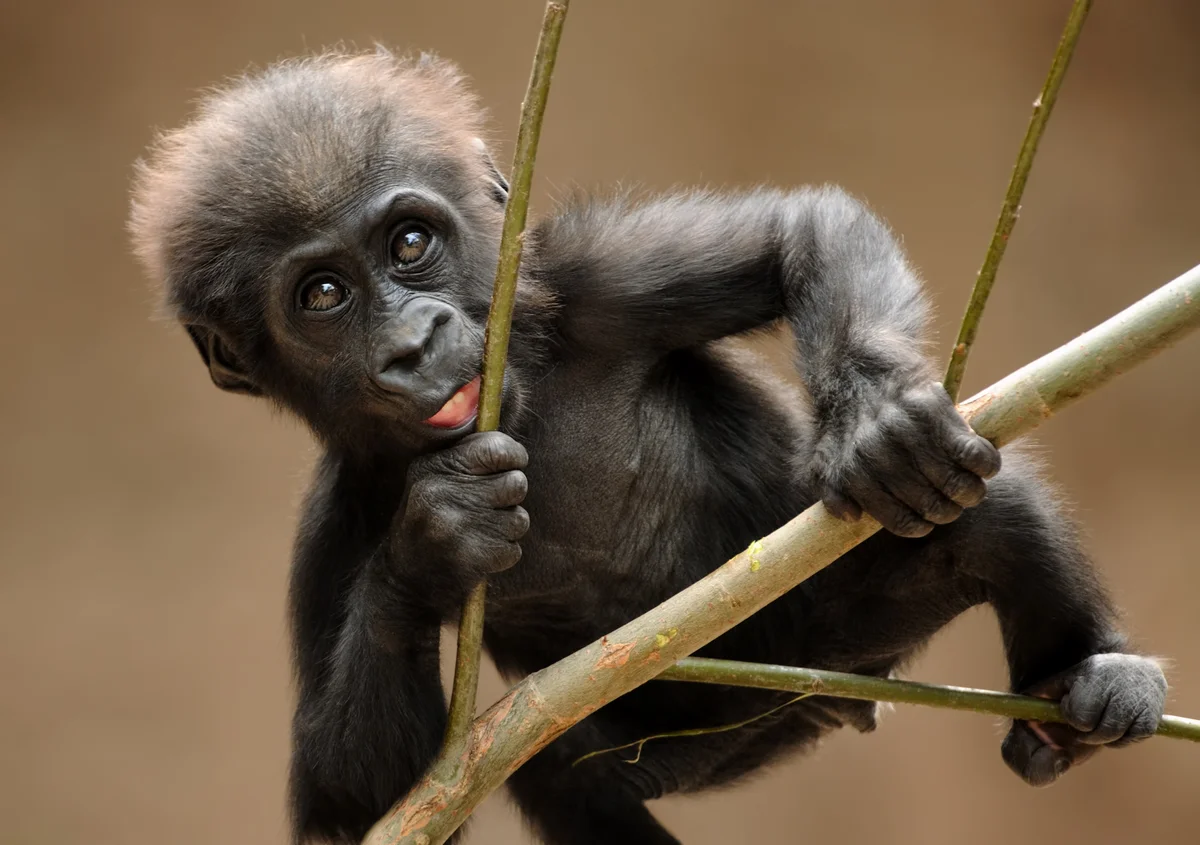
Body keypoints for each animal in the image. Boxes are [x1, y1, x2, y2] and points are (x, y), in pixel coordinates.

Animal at [130, 50, 1168, 845]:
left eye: (410, 243)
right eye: (323, 297)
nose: (413, 345)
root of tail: (810, 696)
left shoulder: (591, 283)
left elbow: (797, 231)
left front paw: (876, 413)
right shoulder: (333, 521)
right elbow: (353, 806)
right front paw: (433, 540)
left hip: (835, 632)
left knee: (994, 517)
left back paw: (1083, 681)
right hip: (701, 732)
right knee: (557, 772)